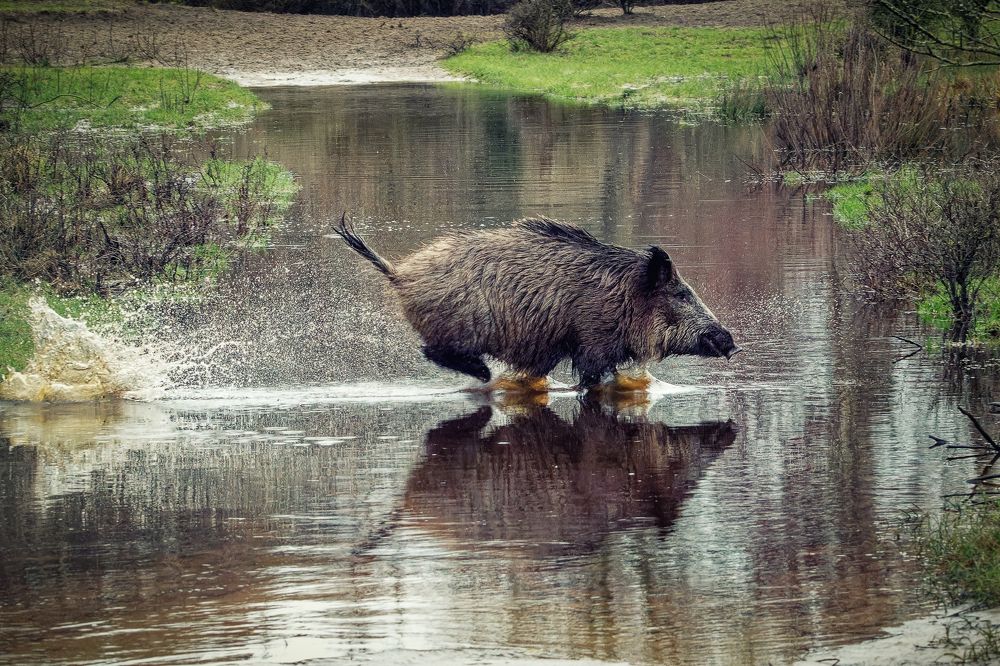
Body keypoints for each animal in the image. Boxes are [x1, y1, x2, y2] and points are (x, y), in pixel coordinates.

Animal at [334, 215, 740, 388]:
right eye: (682, 294)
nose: (733, 343)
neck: (623, 296)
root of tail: (400, 273)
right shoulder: (592, 343)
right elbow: (593, 380)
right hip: (458, 329)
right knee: (433, 352)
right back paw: (486, 375)